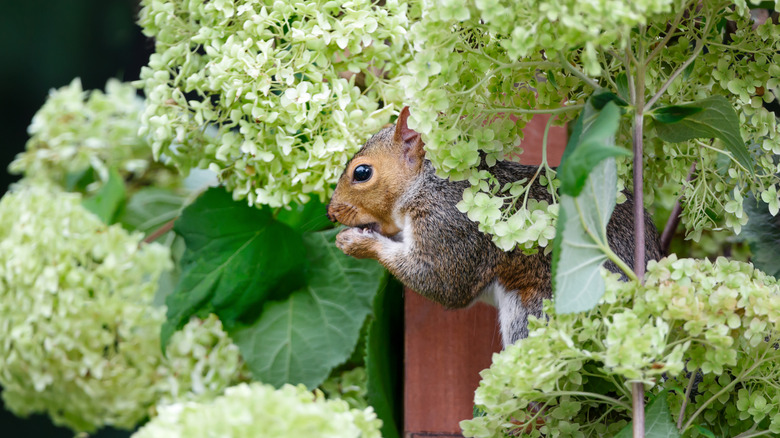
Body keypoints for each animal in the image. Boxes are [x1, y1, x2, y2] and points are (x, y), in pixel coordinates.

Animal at [327, 107, 662, 346]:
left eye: (362, 172)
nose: (331, 213)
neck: (427, 184)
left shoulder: (450, 226)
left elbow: (441, 282)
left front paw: (356, 242)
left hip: (534, 313)